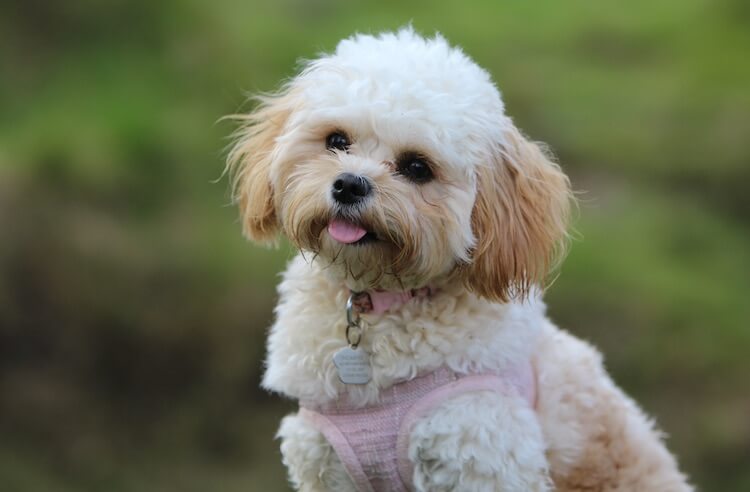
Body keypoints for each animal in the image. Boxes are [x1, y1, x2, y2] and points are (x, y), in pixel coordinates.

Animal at [229, 28, 692, 492]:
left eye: (417, 167)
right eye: (337, 141)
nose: (349, 185)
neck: (378, 302)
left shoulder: (479, 451)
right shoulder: (325, 463)